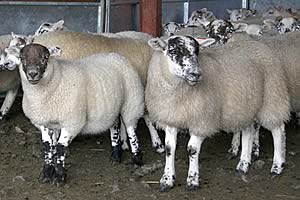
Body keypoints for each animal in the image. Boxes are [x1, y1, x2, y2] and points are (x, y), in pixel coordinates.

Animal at [17, 43, 145, 186]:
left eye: (45, 57)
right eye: (21, 57)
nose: (32, 73)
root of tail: (116, 55)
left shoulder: (72, 122)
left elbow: (60, 147)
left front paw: (59, 177)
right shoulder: (44, 122)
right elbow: (48, 146)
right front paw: (47, 173)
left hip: (132, 102)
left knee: (130, 129)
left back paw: (137, 158)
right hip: (113, 107)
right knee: (115, 125)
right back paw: (116, 156)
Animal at [145, 35, 290, 191]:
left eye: (197, 52)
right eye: (173, 51)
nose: (196, 74)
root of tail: (259, 44)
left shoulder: (201, 120)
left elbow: (192, 149)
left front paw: (192, 180)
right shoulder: (171, 118)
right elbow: (169, 149)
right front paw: (167, 179)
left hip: (272, 97)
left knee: (278, 129)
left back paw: (277, 166)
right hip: (246, 105)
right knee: (249, 131)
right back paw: (243, 164)